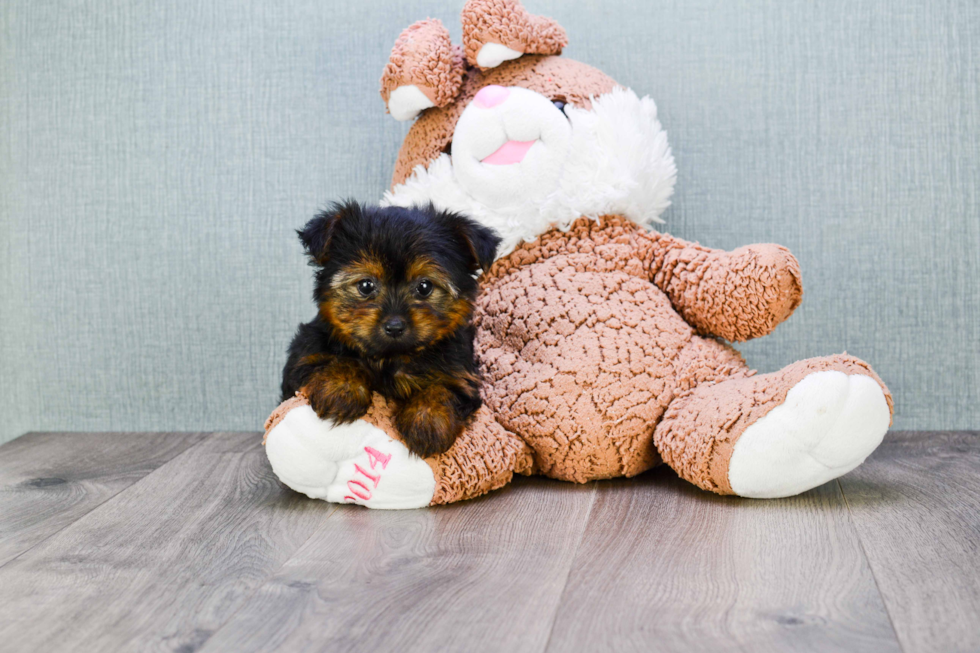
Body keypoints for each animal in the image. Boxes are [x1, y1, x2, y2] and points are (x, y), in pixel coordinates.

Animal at [282, 201, 498, 456]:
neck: (391, 357)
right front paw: (341, 387)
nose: (394, 326)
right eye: (366, 286)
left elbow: (441, 388)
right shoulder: (305, 357)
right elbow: (339, 360)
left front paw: (428, 420)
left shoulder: (462, 377)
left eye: (425, 287)